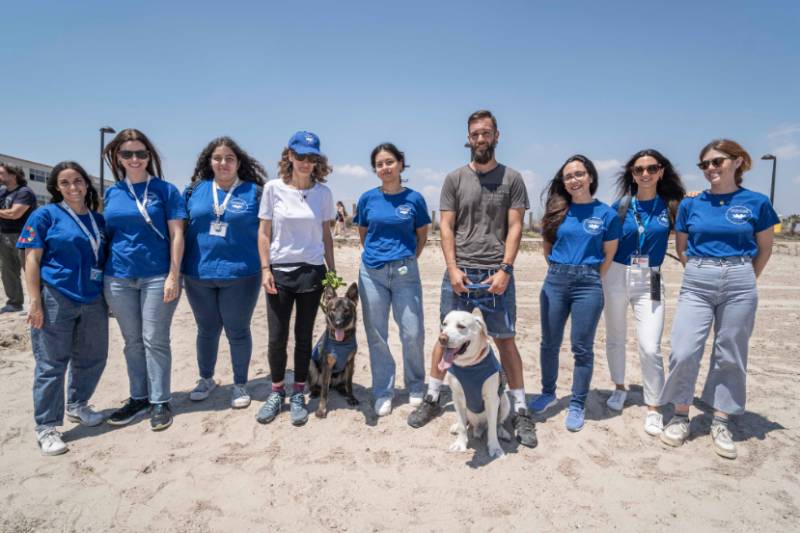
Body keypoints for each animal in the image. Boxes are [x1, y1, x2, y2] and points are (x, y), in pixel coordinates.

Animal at [308, 280, 358, 418]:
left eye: (346, 310)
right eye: (333, 310)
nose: (338, 323)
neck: (341, 342)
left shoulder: (350, 362)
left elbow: (349, 384)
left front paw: (351, 397)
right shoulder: (327, 365)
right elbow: (324, 392)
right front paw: (322, 410)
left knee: (342, 383)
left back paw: (342, 389)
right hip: (311, 364)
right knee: (316, 386)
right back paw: (314, 392)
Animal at [438, 310, 512, 460]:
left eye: (461, 326)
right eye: (444, 324)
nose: (442, 338)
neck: (469, 365)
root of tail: (479, 426)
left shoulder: (492, 399)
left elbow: (492, 429)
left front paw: (495, 448)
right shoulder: (457, 397)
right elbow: (462, 426)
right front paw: (460, 444)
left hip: (504, 401)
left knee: (497, 423)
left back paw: (502, 432)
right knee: (464, 421)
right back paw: (457, 426)